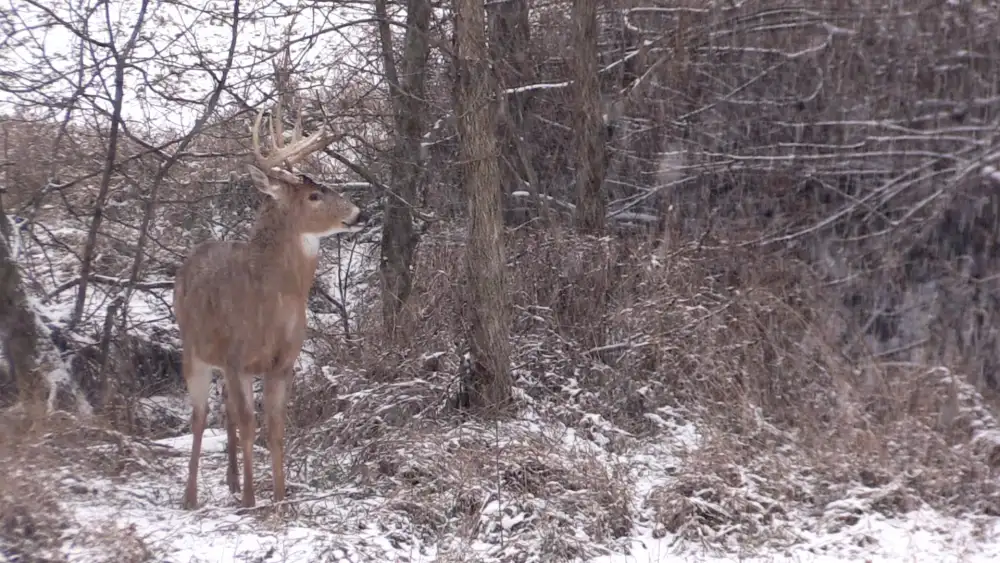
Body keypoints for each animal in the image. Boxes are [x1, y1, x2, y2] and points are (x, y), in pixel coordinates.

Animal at [173, 101, 368, 512]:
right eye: (314, 196)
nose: (359, 214)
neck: (271, 301)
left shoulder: (282, 364)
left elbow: (276, 428)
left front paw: (279, 497)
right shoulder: (237, 358)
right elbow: (251, 424)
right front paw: (251, 500)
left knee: (225, 408)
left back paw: (230, 480)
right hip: (193, 349)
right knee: (200, 416)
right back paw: (191, 495)